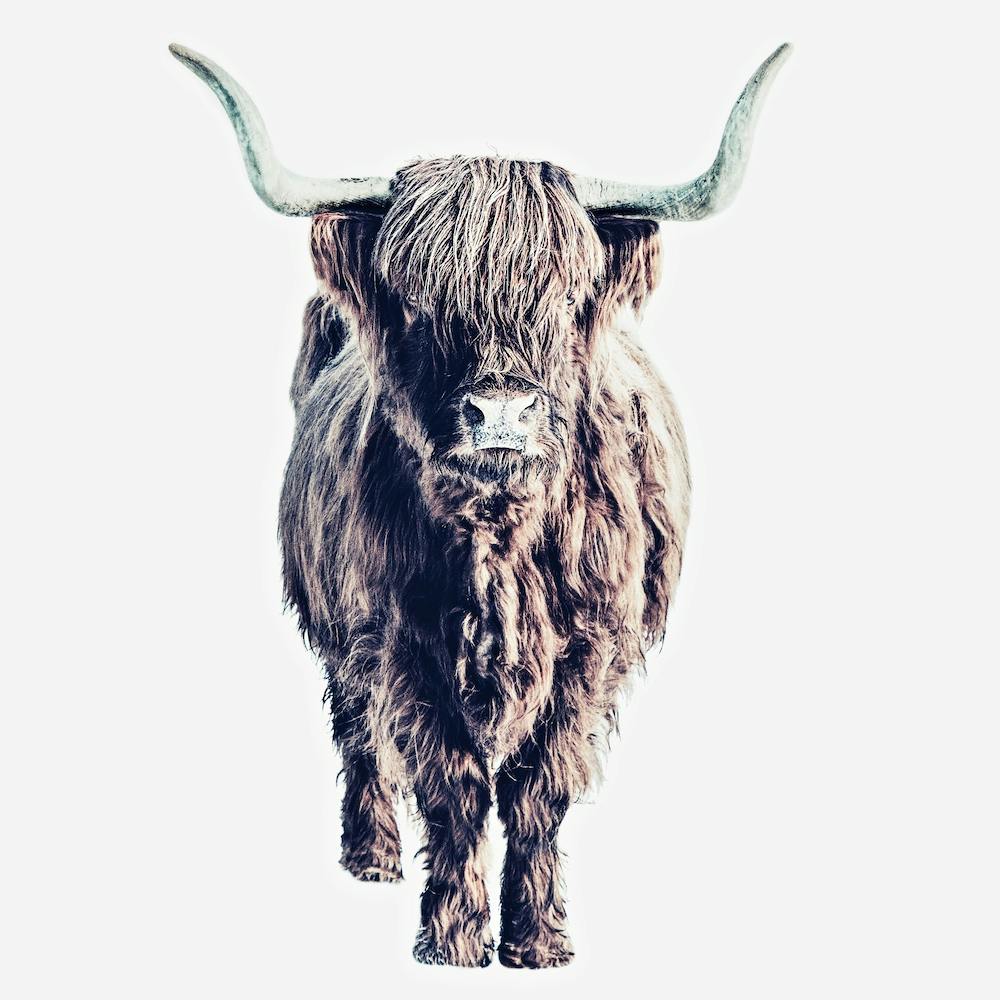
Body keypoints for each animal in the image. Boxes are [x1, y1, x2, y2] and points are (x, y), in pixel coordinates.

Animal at [170, 42, 790, 968]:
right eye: (419, 303)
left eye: (564, 298)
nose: (499, 412)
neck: (500, 540)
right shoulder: (402, 638)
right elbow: (453, 785)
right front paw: (453, 940)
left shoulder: (589, 649)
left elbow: (538, 790)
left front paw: (537, 941)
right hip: (337, 624)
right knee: (356, 730)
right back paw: (371, 856)